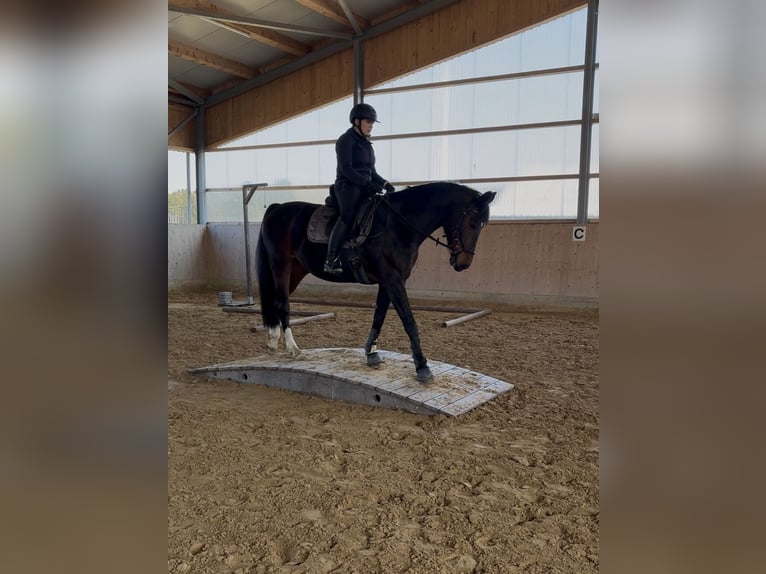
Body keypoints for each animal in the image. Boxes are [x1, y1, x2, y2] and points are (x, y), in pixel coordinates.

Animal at [255, 181, 496, 382]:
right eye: (473, 223)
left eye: (483, 225)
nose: (463, 263)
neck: (398, 225)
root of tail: (276, 208)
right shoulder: (393, 280)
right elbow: (409, 321)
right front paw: (422, 366)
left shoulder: (388, 282)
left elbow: (379, 316)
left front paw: (371, 353)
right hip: (281, 266)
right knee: (283, 304)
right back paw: (293, 349)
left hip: (296, 271)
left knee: (276, 302)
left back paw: (272, 341)